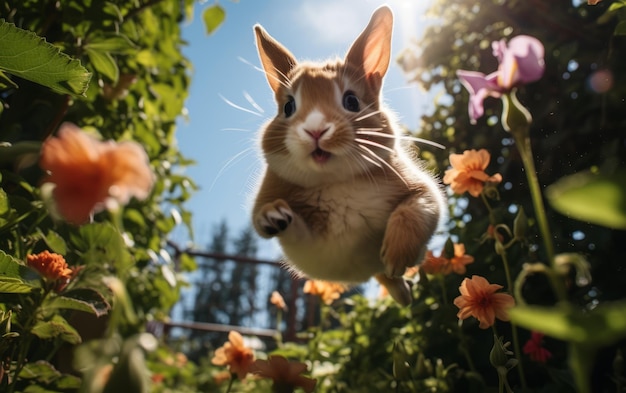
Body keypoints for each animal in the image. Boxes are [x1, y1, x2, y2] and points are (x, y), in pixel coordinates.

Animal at [249, 6, 444, 306]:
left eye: (352, 101)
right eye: (289, 107)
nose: (316, 130)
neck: (336, 180)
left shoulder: (423, 192)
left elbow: (414, 210)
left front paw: (395, 256)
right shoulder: (316, 248)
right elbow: (296, 230)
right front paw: (273, 216)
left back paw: (402, 291)